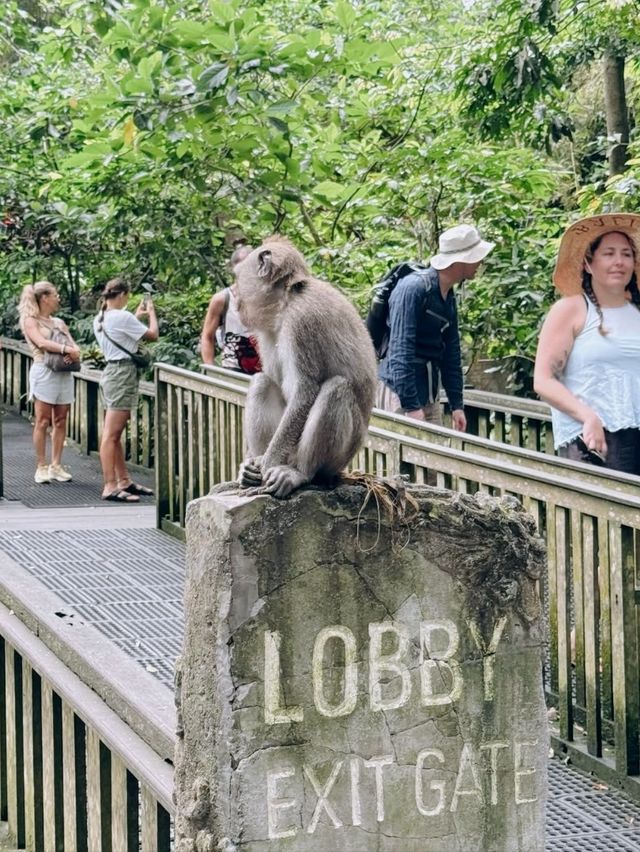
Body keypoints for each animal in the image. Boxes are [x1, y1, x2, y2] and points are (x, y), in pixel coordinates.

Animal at [235, 235, 378, 500]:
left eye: (237, 277)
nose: (236, 298)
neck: (286, 301)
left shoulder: (302, 321)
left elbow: (305, 391)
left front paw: (267, 463)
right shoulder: (267, 331)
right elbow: (273, 378)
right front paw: (250, 465)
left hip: (340, 457)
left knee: (336, 389)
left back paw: (298, 472)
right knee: (262, 382)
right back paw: (254, 468)